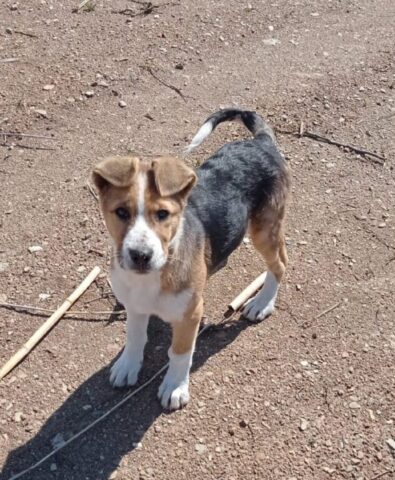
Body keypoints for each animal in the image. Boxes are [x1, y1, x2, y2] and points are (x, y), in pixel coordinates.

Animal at [93, 109, 290, 408]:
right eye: (121, 213)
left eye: (163, 214)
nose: (140, 256)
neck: (154, 275)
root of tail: (262, 142)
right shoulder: (134, 303)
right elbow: (135, 336)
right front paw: (128, 365)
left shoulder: (191, 313)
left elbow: (180, 352)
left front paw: (175, 387)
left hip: (263, 230)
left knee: (279, 263)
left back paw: (262, 303)